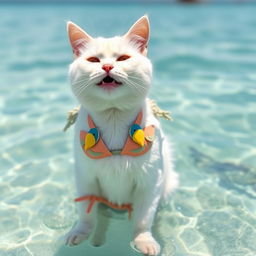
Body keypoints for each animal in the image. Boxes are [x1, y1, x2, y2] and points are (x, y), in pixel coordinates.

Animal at [64, 16, 178, 256]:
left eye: (123, 58)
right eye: (93, 60)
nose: (107, 66)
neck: (114, 116)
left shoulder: (149, 182)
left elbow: (143, 218)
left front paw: (143, 240)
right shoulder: (86, 178)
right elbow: (86, 213)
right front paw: (80, 232)